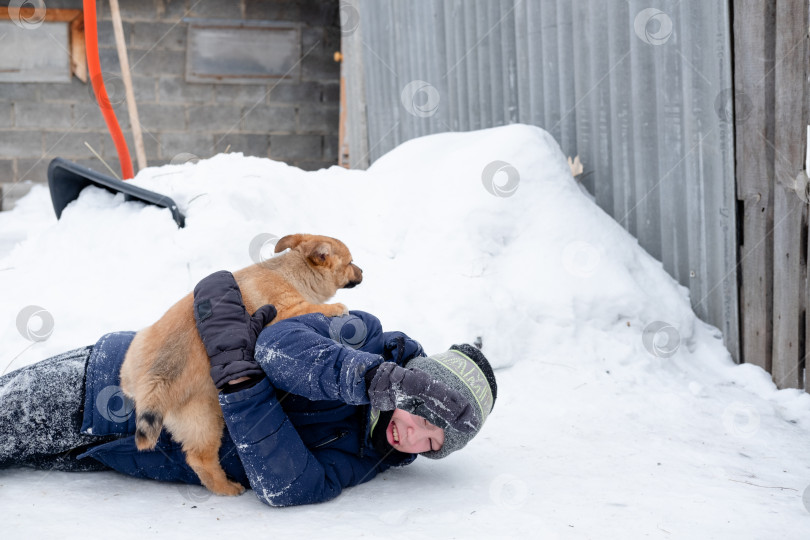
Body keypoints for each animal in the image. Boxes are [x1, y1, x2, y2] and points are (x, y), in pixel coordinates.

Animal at [118, 234, 362, 496]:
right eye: (350, 262)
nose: (363, 271)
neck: (292, 272)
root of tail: (154, 380)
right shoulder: (285, 311)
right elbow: (314, 308)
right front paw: (335, 308)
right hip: (206, 419)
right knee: (200, 459)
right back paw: (226, 488)